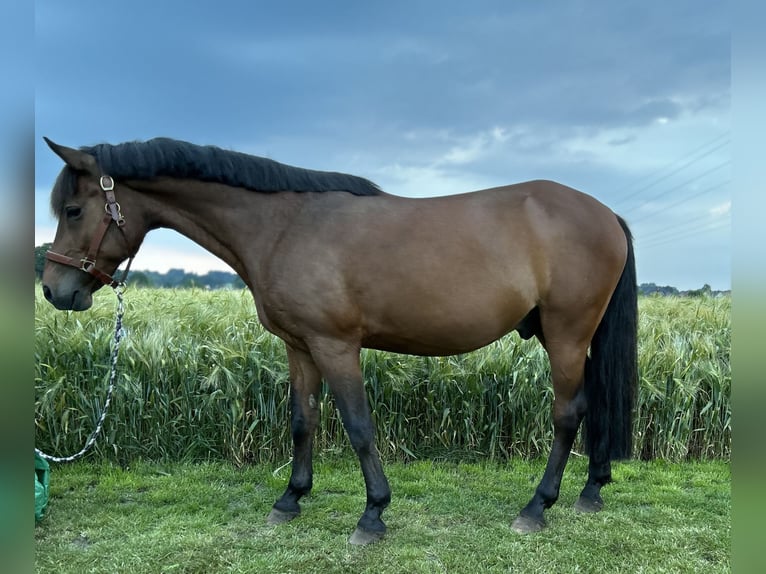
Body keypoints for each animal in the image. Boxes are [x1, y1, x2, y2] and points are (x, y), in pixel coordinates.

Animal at [39, 137, 640, 548]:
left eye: (73, 210)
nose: (53, 289)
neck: (285, 225)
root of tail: (606, 213)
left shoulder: (335, 346)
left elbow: (357, 427)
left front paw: (372, 515)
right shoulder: (300, 347)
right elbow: (302, 421)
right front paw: (290, 500)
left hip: (566, 334)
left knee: (568, 413)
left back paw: (537, 507)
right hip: (569, 336)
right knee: (596, 403)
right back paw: (591, 491)